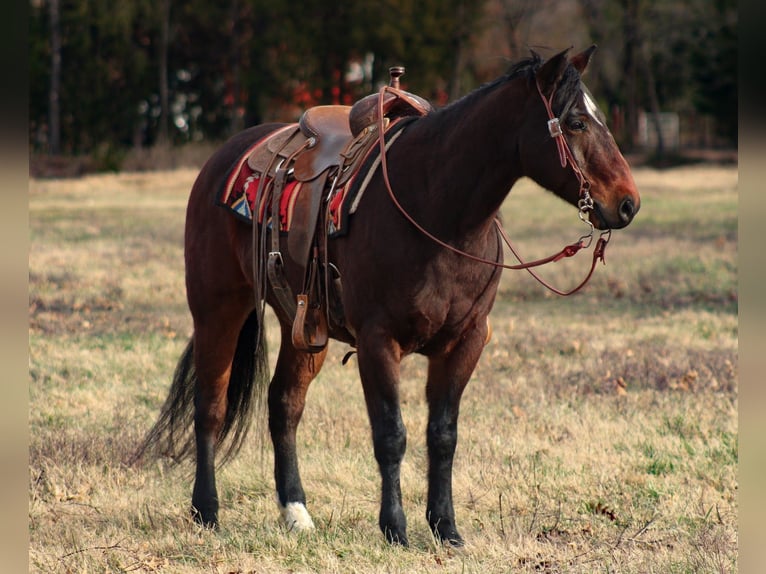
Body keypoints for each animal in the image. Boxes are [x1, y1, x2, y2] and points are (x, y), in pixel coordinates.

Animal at [135, 46, 639, 547]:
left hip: (303, 326)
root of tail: (224, 158)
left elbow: (443, 434)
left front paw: (445, 527)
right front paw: (395, 527)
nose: (628, 203)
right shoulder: (378, 341)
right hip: (218, 307)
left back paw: (295, 512)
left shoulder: (466, 341)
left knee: (284, 405)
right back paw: (206, 510)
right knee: (211, 405)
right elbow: (391, 435)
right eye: (575, 122)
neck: (438, 212)